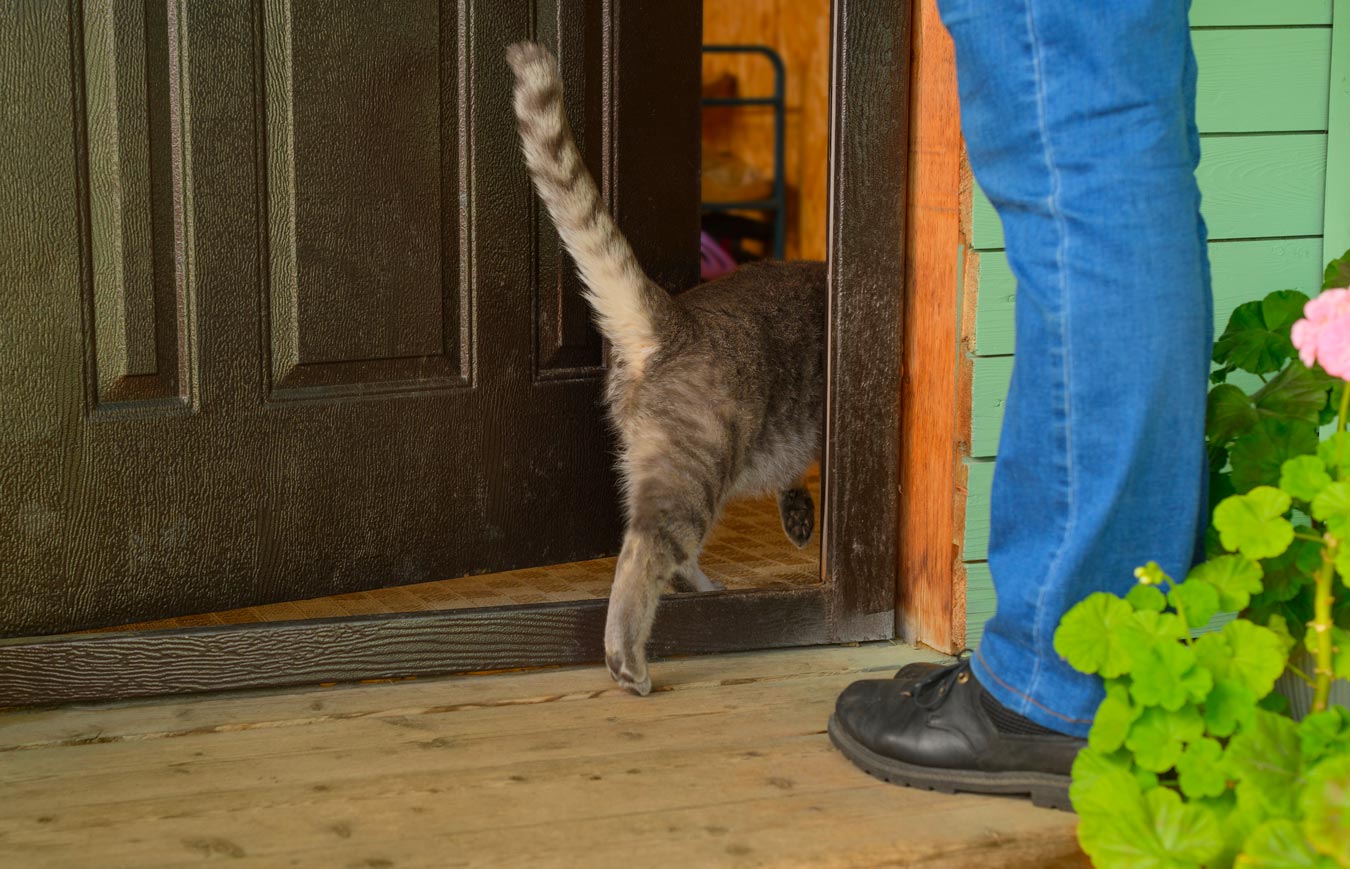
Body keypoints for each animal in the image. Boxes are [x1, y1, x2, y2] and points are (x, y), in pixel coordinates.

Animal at [507, 40, 820, 696]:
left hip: (652, 459)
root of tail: (678, 319)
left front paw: (798, 510)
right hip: (694, 470)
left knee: (662, 552)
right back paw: (628, 659)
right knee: (647, 552)